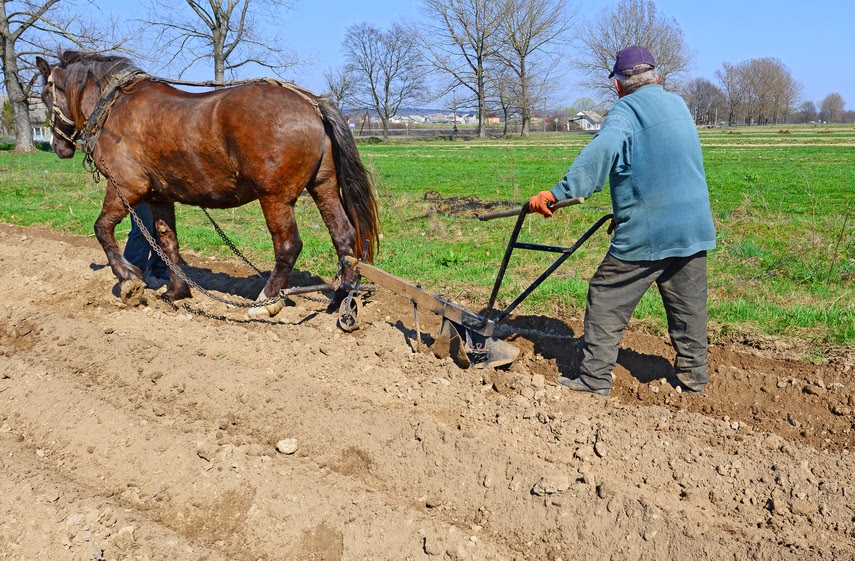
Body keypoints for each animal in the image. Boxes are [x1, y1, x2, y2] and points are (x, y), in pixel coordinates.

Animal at [35, 51, 378, 318]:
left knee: (288, 247)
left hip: (275, 197)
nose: (58, 147)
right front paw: (176, 292)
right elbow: (167, 243)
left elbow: (102, 229)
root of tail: (312, 104)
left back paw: (266, 301)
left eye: (44, 95)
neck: (114, 108)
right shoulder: (159, 197)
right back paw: (339, 299)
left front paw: (128, 279)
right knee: (344, 238)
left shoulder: (126, 187)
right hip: (323, 186)